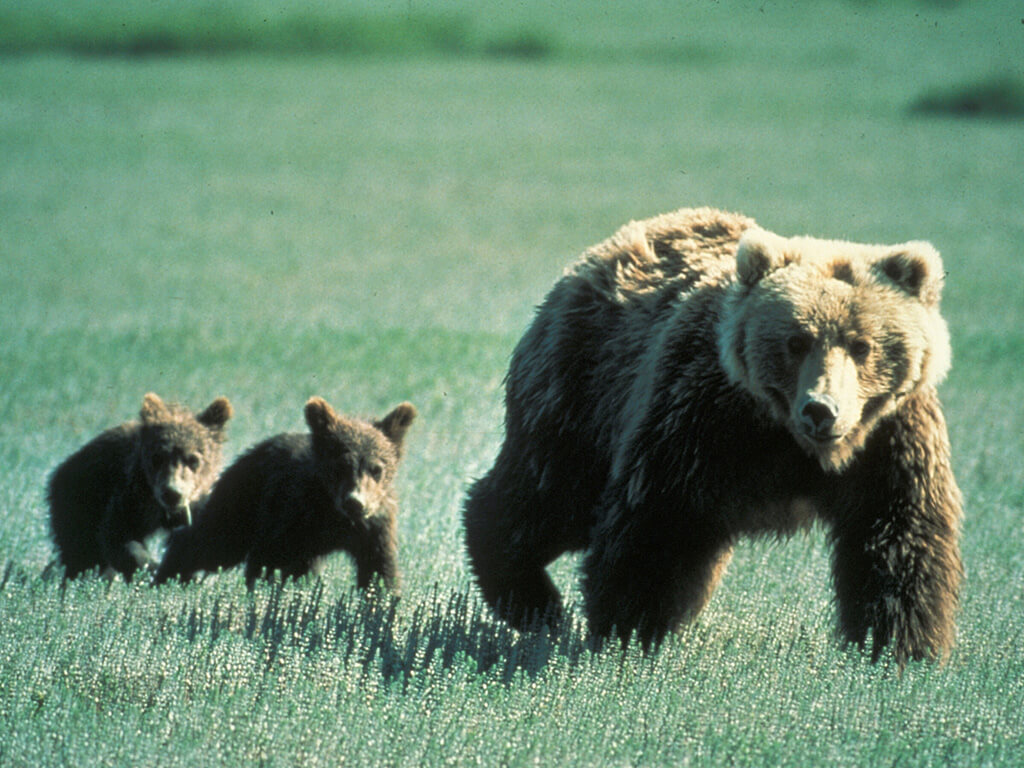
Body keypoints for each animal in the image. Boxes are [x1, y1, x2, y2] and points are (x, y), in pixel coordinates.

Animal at [49, 393, 232, 581]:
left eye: (193, 459)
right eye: (158, 457)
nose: (172, 493)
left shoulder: (200, 504)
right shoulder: (133, 497)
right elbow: (118, 536)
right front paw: (150, 569)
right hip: (79, 500)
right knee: (81, 554)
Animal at [468, 207, 962, 663]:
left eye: (862, 345)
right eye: (796, 340)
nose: (821, 409)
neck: (794, 446)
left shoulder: (891, 440)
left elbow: (896, 539)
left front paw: (900, 648)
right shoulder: (702, 419)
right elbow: (659, 520)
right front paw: (628, 631)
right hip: (583, 390)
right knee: (545, 495)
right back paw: (533, 601)